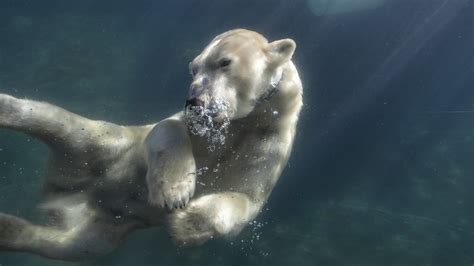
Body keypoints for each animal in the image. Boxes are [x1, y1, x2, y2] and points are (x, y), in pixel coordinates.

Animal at [0, 28, 304, 260]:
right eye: (193, 68)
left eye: (225, 62)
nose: (195, 102)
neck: (245, 124)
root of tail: (62, 194)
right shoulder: (188, 127)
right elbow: (166, 128)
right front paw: (174, 193)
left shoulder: (267, 148)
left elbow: (243, 201)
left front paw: (183, 224)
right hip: (109, 142)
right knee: (58, 122)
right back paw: (7, 107)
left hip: (107, 227)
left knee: (71, 246)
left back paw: (9, 228)